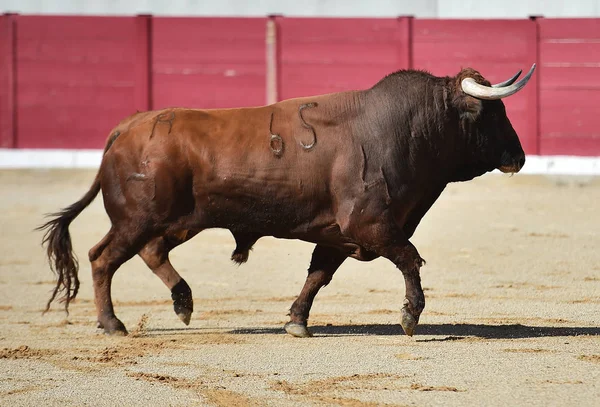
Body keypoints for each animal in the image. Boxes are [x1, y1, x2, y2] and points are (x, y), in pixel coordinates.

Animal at [38, 64, 536, 338]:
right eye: (492, 112)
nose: (520, 156)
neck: (406, 130)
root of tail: (128, 126)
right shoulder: (370, 226)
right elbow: (410, 259)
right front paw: (410, 317)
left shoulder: (338, 235)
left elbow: (317, 277)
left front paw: (296, 322)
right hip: (138, 218)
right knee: (103, 258)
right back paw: (113, 325)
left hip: (178, 221)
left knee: (150, 251)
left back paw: (183, 304)